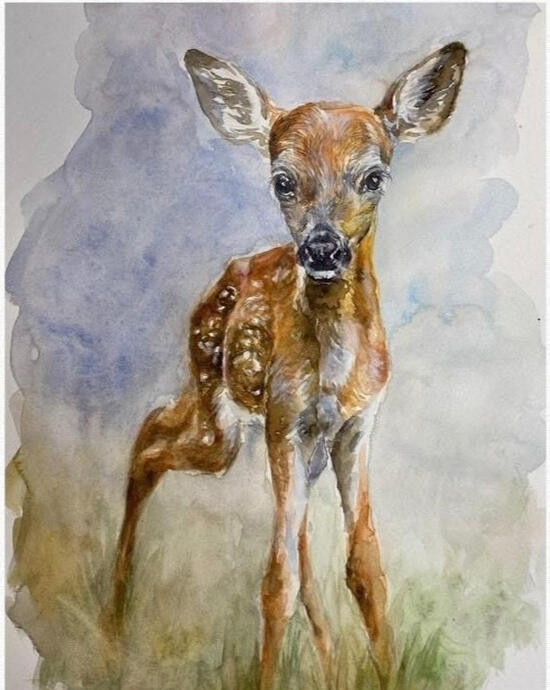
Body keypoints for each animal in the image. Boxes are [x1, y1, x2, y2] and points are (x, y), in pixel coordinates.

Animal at [104, 42, 466, 689]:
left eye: (373, 176)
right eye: (283, 180)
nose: (322, 248)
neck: (334, 372)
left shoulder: (355, 426)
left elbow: (364, 567)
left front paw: (385, 671)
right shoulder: (284, 420)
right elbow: (276, 584)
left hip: (288, 442)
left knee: (292, 533)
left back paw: (329, 664)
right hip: (220, 411)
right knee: (148, 439)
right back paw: (114, 622)